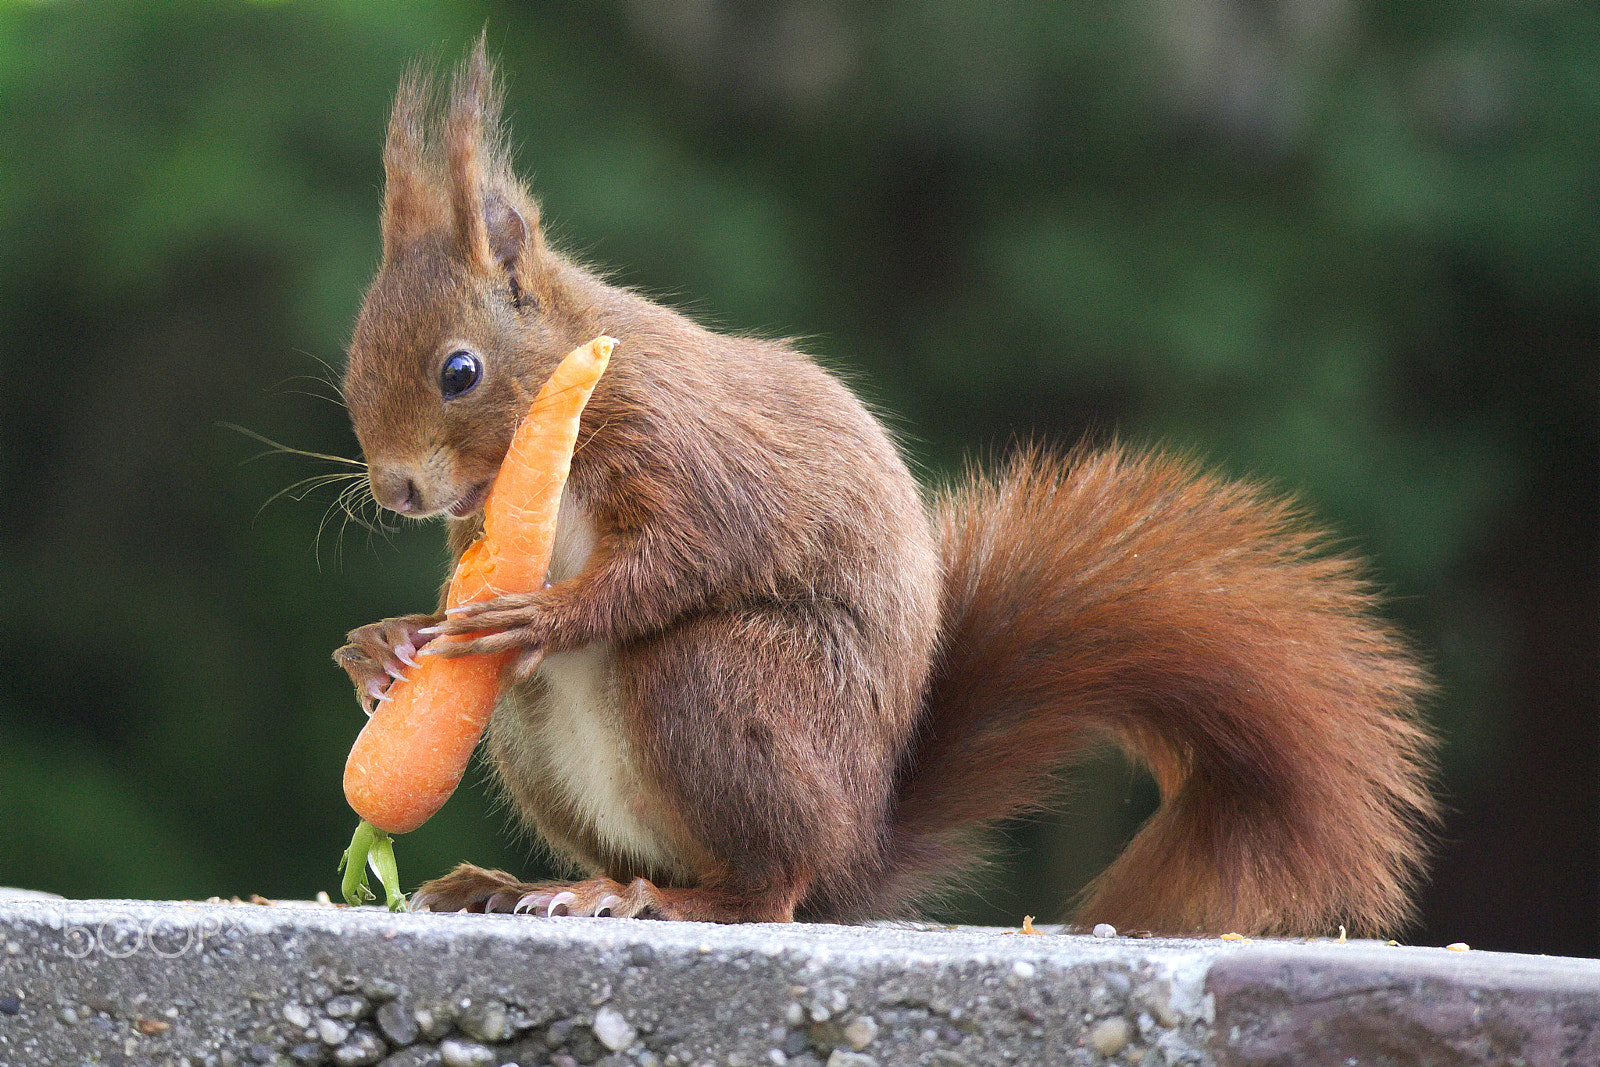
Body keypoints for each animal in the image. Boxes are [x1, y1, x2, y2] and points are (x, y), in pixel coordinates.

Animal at [331, 43, 1433, 934]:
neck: (571, 388)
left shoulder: (687, 444)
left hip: (726, 686)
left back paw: (660, 896)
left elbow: (694, 550)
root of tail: (856, 845)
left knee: (767, 885)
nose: (397, 490)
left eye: (459, 370)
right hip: (538, 740)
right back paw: (518, 884)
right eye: (352, 362)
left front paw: (546, 615)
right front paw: (383, 647)